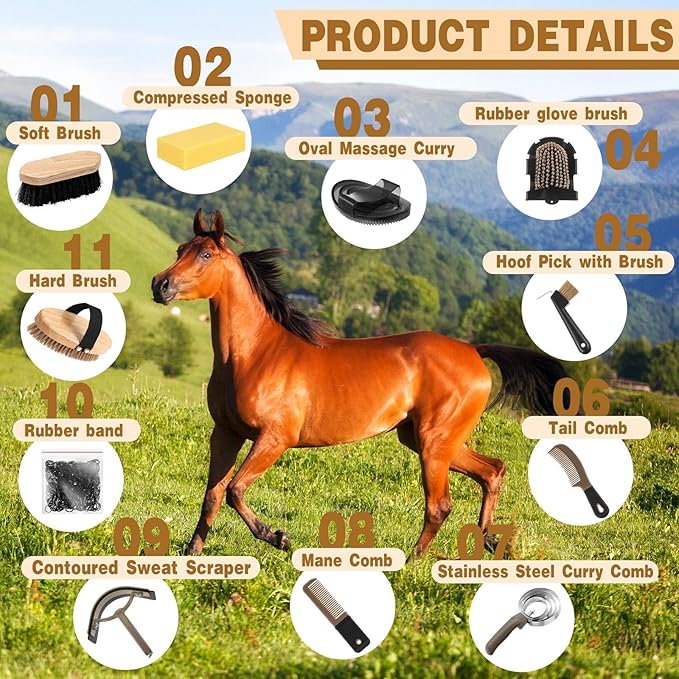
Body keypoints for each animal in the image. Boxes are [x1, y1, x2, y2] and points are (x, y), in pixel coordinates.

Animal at [151, 209, 565, 557]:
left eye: (206, 255)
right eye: (180, 249)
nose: (160, 284)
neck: (255, 354)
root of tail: (473, 350)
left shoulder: (274, 438)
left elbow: (235, 490)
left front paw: (278, 537)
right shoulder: (226, 432)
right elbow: (213, 494)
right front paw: (192, 555)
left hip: (434, 442)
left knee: (440, 506)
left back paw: (413, 562)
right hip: (430, 439)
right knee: (492, 471)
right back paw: (490, 541)